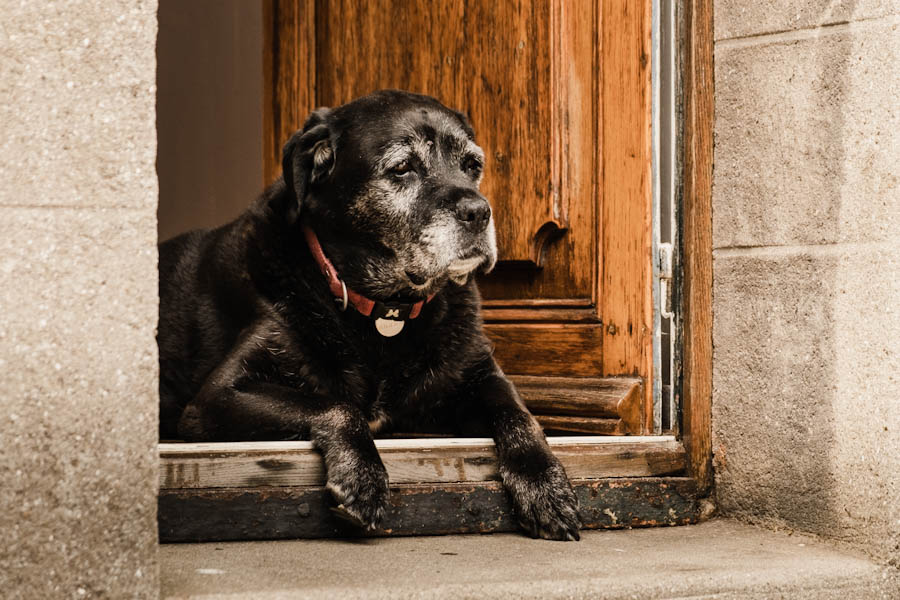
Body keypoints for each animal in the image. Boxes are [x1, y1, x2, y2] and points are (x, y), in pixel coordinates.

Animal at [160, 90, 584, 544]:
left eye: (472, 166)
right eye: (402, 168)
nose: (479, 211)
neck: (387, 309)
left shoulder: (479, 374)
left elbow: (520, 414)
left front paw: (545, 483)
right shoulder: (217, 397)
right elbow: (338, 405)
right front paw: (363, 477)